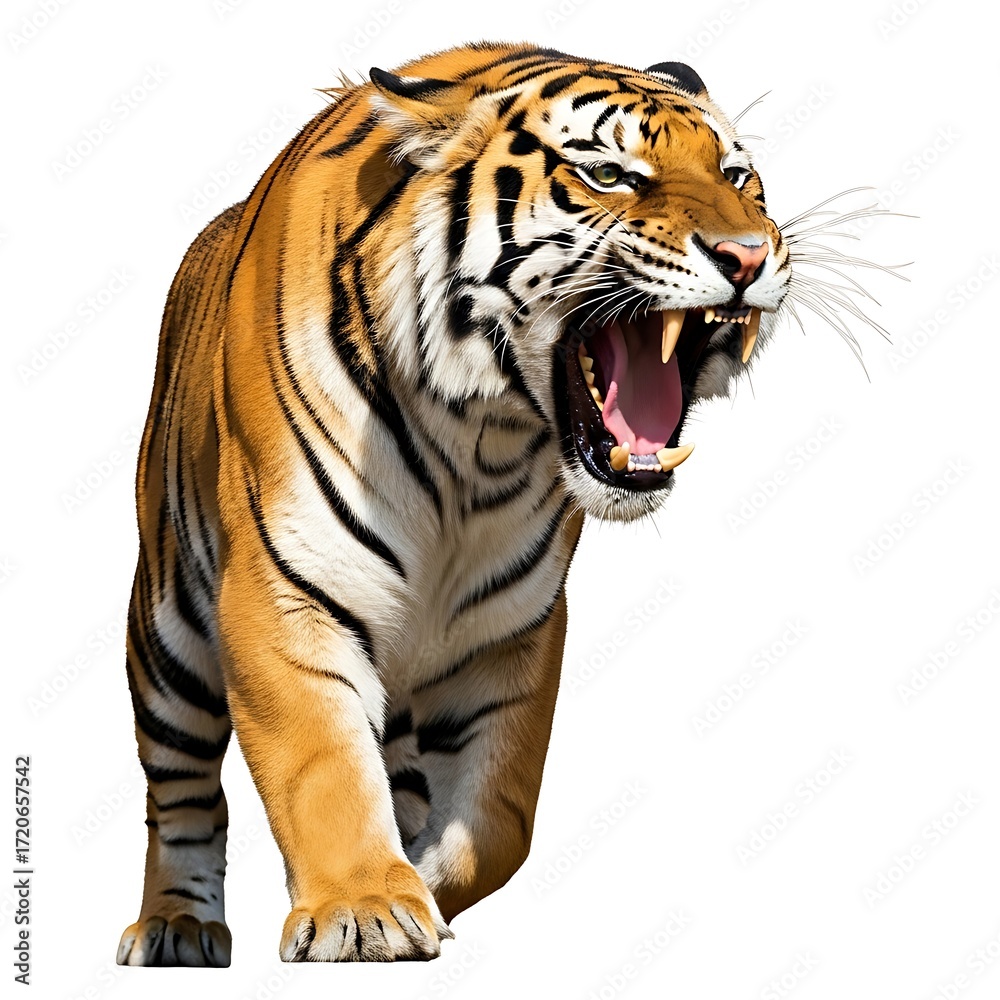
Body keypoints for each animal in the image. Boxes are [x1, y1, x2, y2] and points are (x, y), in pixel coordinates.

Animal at [116, 40, 880, 966]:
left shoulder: (509, 631)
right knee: (182, 792)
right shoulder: (283, 596)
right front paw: (365, 908)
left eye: (738, 175)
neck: (479, 445)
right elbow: (321, 769)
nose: (747, 255)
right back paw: (178, 927)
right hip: (164, 635)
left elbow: (500, 821)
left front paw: (422, 879)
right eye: (608, 174)